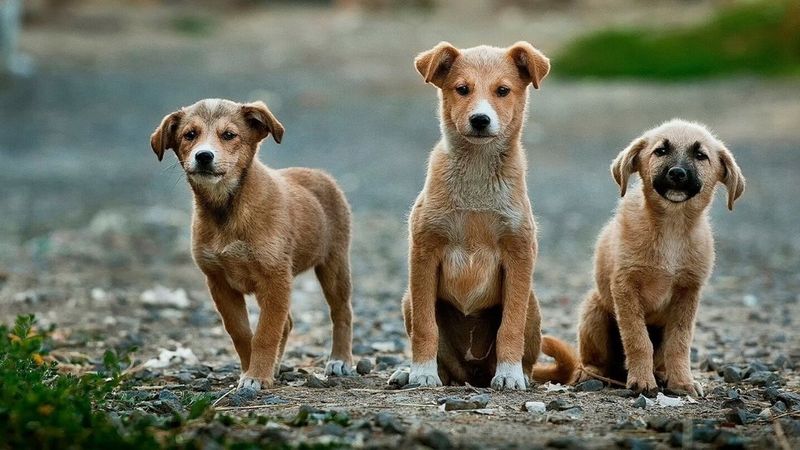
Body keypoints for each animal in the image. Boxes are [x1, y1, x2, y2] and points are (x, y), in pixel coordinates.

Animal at [150, 98, 354, 390]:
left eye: (229, 135)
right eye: (190, 135)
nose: (204, 156)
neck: (227, 209)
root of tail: (319, 174)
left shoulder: (275, 278)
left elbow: (266, 333)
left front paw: (257, 375)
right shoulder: (219, 282)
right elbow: (242, 333)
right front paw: (252, 371)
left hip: (334, 264)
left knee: (341, 312)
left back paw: (340, 360)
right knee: (288, 323)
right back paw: (277, 366)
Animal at [388, 42, 552, 390]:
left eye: (503, 90)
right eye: (462, 89)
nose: (480, 119)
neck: (477, 173)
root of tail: (472, 373)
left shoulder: (519, 254)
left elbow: (510, 327)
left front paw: (509, 374)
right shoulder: (424, 252)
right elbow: (426, 327)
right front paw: (421, 372)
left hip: (532, 304)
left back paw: (519, 373)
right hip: (408, 299)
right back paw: (410, 372)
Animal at [536, 119, 748, 398]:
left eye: (701, 155)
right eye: (661, 151)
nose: (677, 173)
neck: (671, 227)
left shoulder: (688, 292)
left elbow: (679, 343)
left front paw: (682, 382)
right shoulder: (625, 287)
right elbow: (638, 339)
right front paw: (641, 381)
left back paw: (662, 374)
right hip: (594, 310)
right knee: (592, 360)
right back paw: (592, 373)